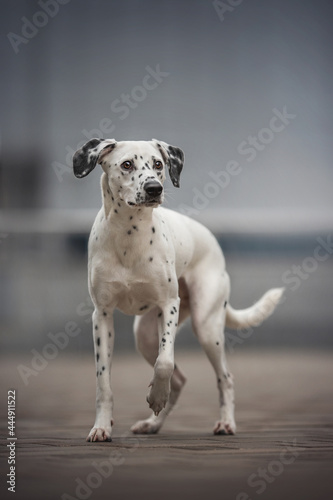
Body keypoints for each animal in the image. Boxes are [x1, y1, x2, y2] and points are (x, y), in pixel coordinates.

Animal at [72, 138, 282, 442]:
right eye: (127, 164)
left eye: (158, 164)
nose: (153, 188)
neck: (128, 237)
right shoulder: (102, 315)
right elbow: (103, 383)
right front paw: (101, 426)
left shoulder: (168, 305)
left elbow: (165, 363)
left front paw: (157, 395)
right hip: (145, 336)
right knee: (180, 380)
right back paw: (152, 424)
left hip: (206, 328)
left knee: (224, 379)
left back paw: (225, 423)